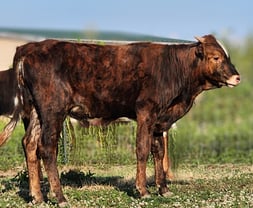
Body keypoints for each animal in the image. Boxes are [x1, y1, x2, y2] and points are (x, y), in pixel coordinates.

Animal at [0, 35, 240, 206]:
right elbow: (142, 149)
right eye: (216, 57)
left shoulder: (160, 120)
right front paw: (142, 190)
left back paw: (38, 197)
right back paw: (59, 197)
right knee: (47, 148)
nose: (237, 77)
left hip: (35, 112)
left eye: (226, 56)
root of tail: (28, 48)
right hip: (53, 110)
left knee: (30, 145)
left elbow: (159, 152)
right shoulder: (146, 111)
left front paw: (163, 189)